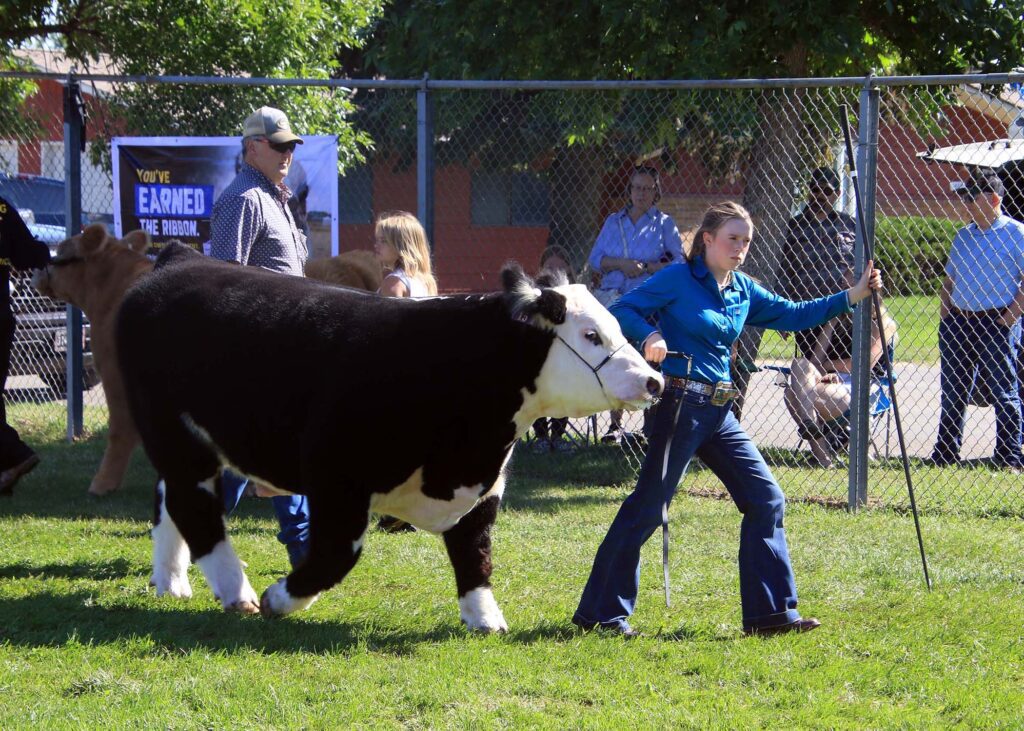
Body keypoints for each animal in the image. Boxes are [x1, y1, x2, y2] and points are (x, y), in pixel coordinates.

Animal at [117, 243, 663, 631]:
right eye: (591, 335)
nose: (654, 381)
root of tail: (185, 259)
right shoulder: (335, 475)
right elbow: (337, 555)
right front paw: (280, 598)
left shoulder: (484, 485)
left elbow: (476, 554)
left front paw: (485, 619)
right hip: (174, 434)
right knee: (192, 505)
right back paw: (238, 592)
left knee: (167, 500)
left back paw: (172, 581)